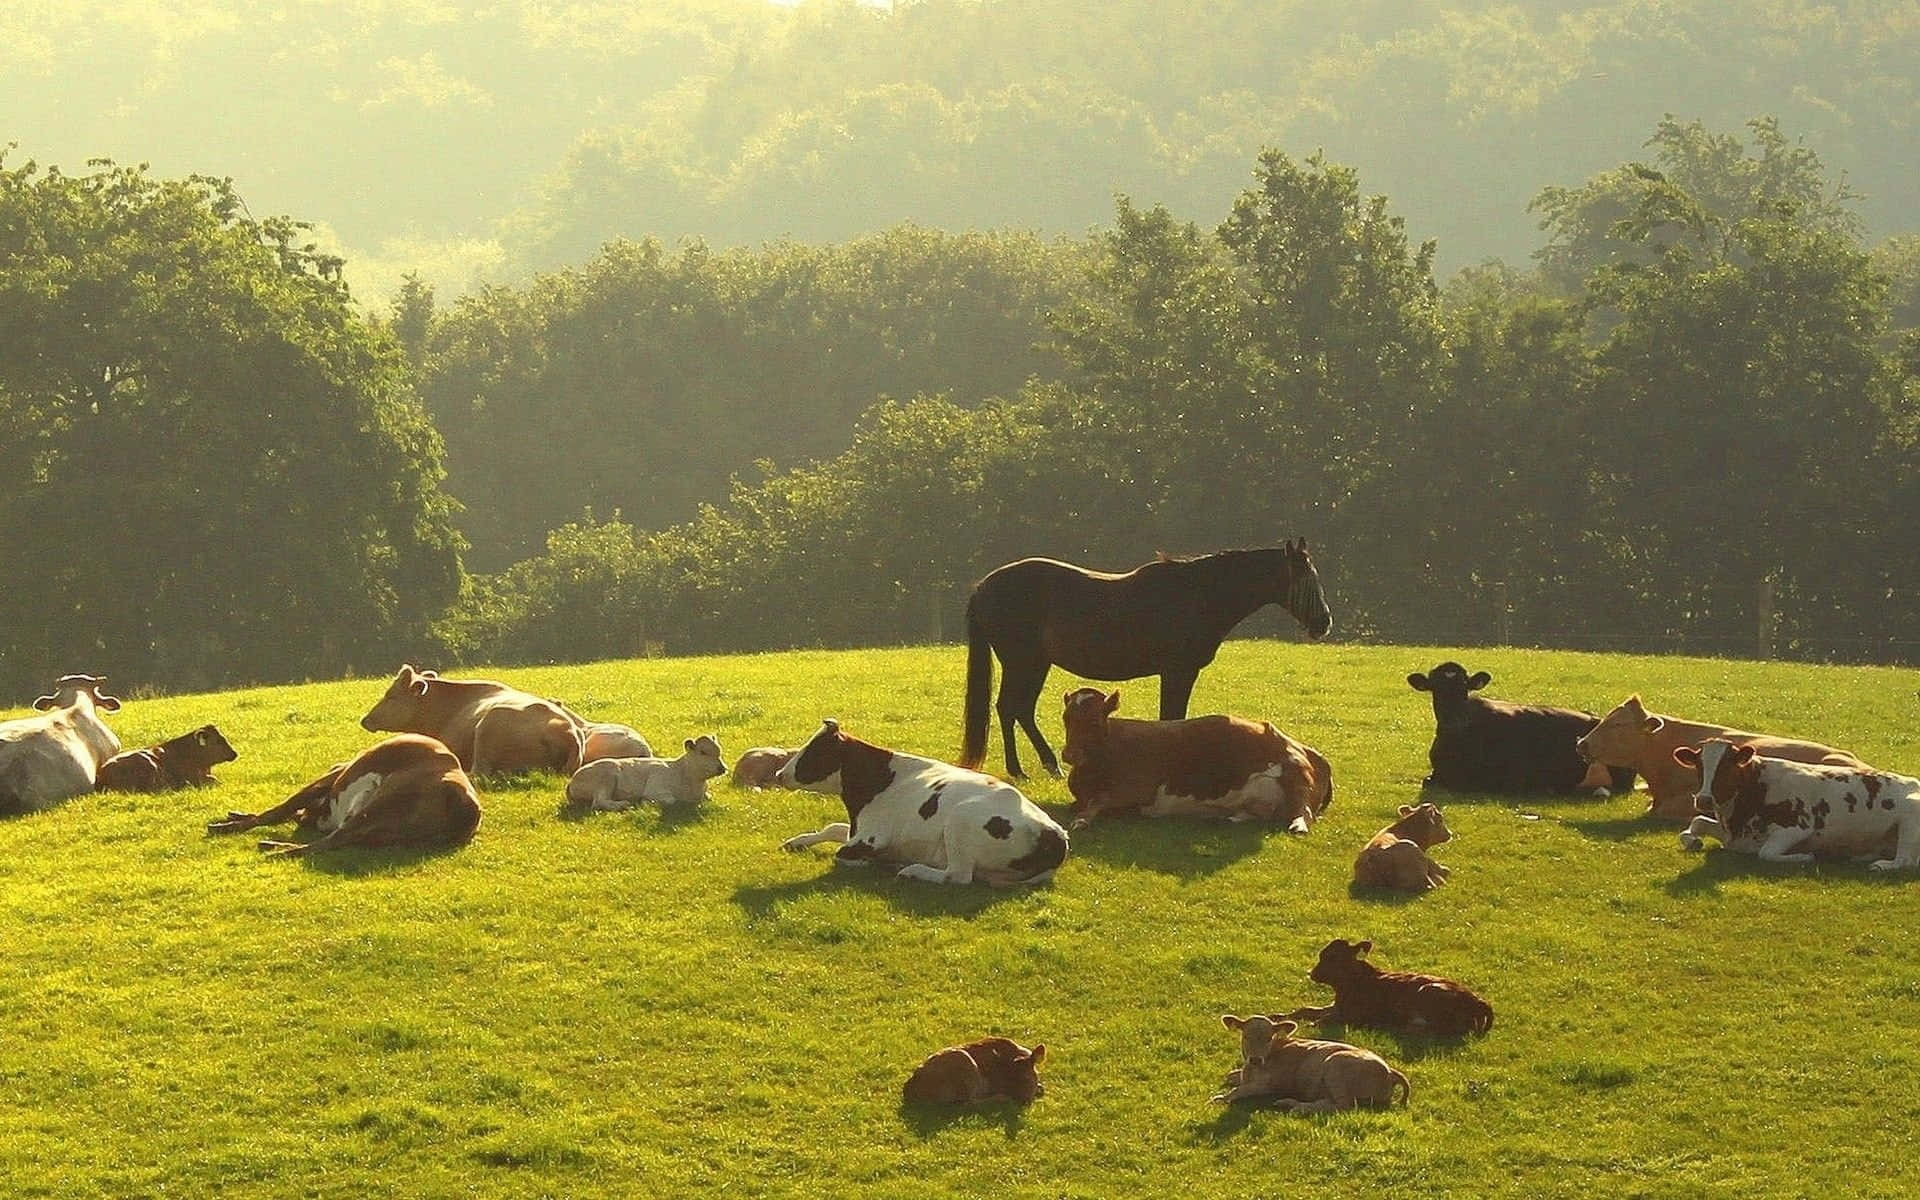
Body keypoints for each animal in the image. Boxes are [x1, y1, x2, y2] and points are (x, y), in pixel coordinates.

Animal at [959, 540, 1332, 779]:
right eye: (1305, 578)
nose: (1324, 622)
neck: (1198, 595)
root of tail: (983, 587)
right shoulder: (1178, 672)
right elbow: (1172, 717)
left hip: (1034, 665)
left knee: (1018, 710)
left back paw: (1044, 766)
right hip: (1023, 663)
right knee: (1010, 708)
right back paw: (1024, 769)